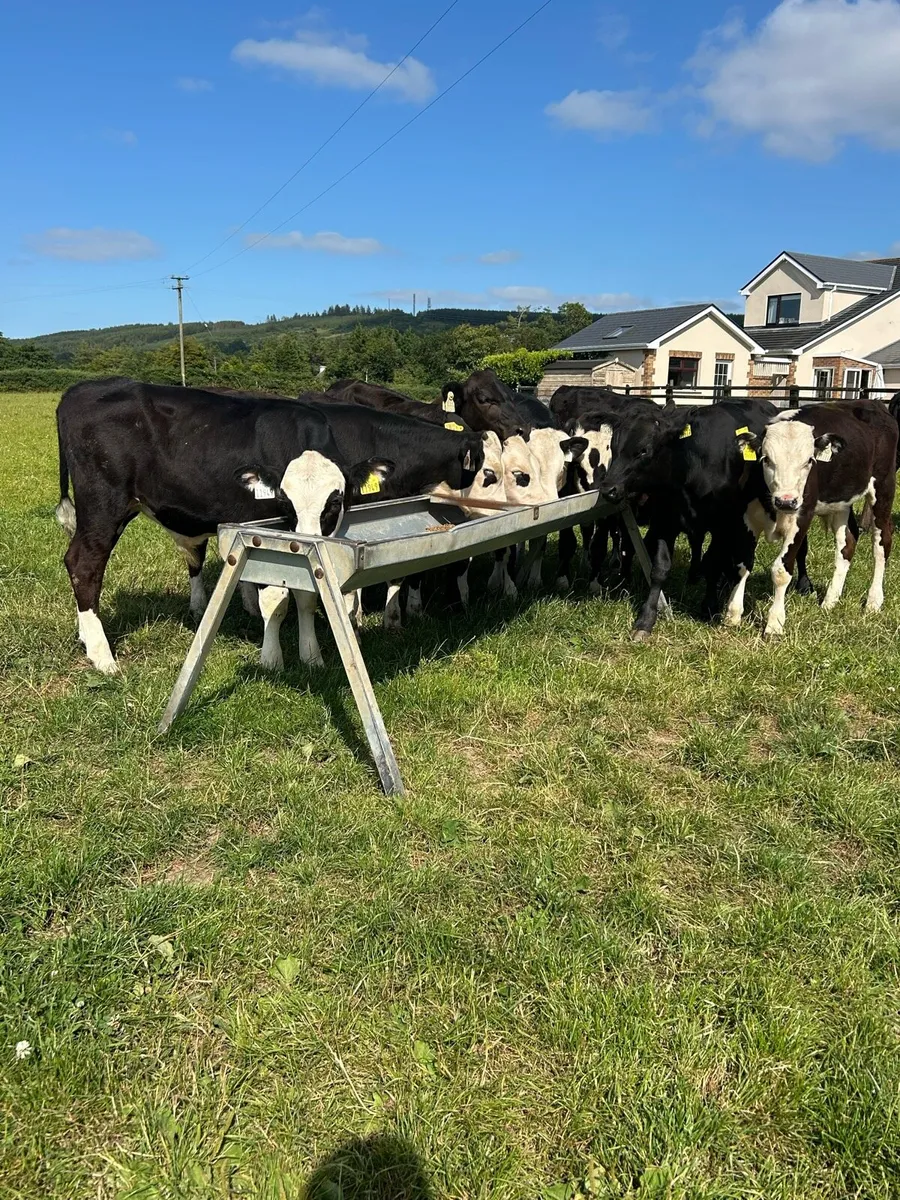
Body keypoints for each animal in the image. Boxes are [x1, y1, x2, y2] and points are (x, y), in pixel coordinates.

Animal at [55, 378, 391, 674]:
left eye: (335, 501)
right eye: (284, 500)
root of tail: (82, 388)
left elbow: (306, 595)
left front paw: (311, 657)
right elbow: (276, 600)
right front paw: (272, 659)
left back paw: (86, 637)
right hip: (103, 504)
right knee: (84, 564)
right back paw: (102, 656)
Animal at [723, 401, 897, 636]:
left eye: (809, 461)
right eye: (766, 459)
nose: (786, 501)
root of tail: (873, 403)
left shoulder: (801, 518)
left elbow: (781, 570)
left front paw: (775, 624)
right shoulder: (747, 518)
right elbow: (743, 565)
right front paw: (733, 615)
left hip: (884, 487)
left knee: (881, 542)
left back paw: (873, 601)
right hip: (841, 501)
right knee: (847, 542)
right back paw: (830, 601)